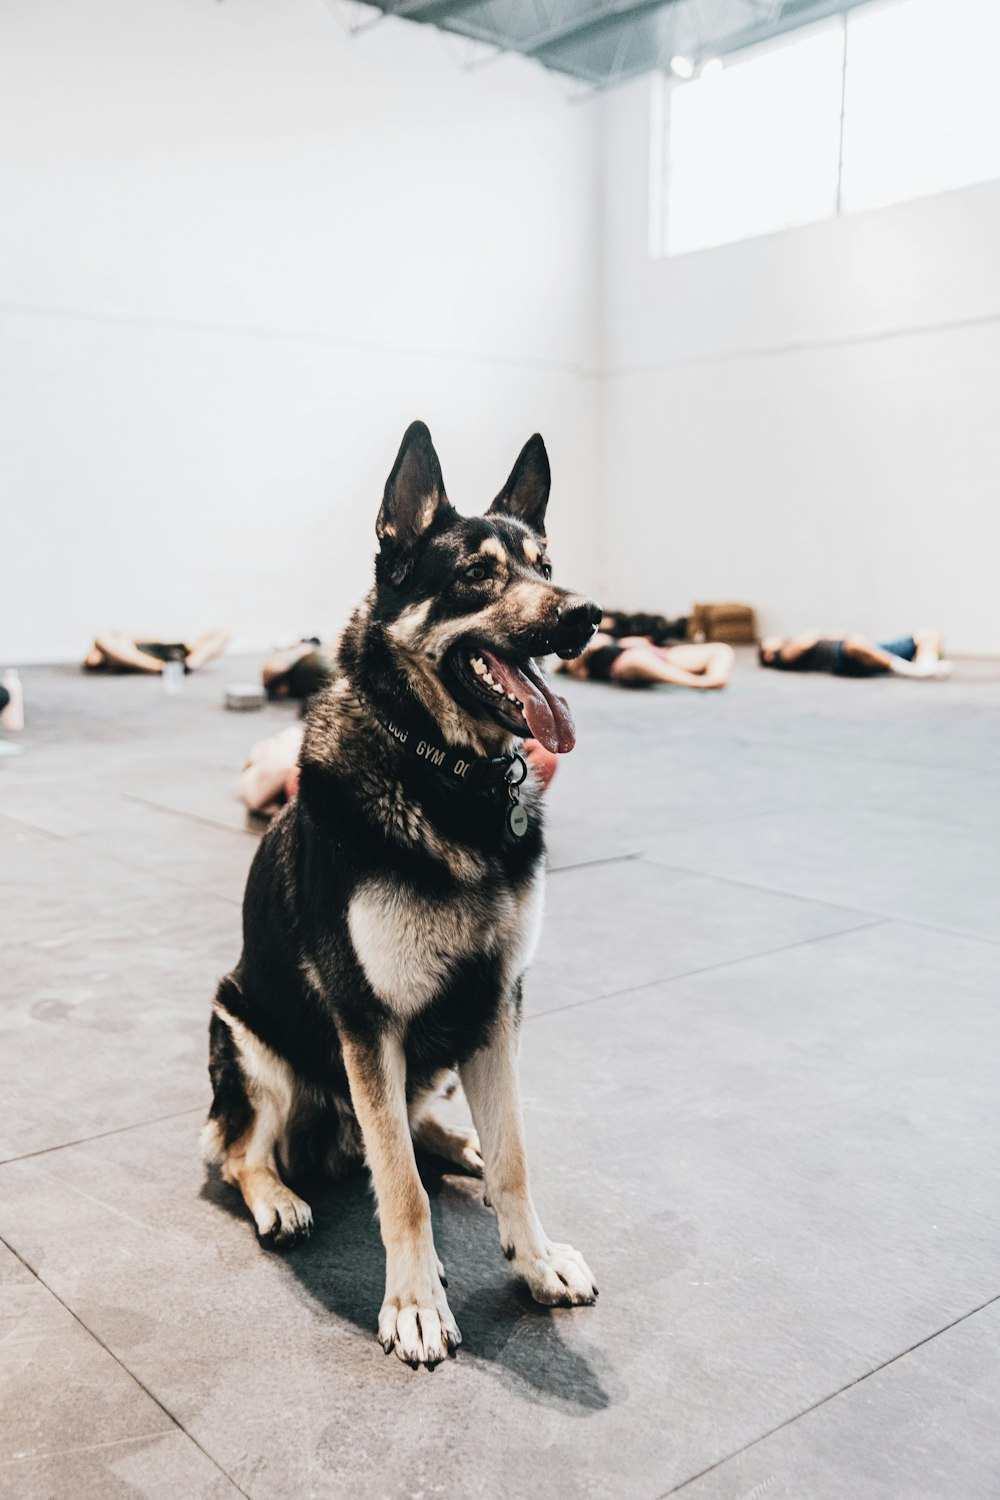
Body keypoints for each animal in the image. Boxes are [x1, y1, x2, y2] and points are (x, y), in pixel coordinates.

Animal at [199, 417, 599, 1368]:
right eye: (477, 575)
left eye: (546, 563)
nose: (587, 616)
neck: (444, 774)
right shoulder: (367, 1019)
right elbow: (403, 1190)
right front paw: (415, 1303)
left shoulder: (497, 1004)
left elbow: (517, 1155)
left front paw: (533, 1259)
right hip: (249, 1036)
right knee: (243, 1150)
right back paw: (279, 1195)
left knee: (414, 1132)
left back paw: (458, 1143)